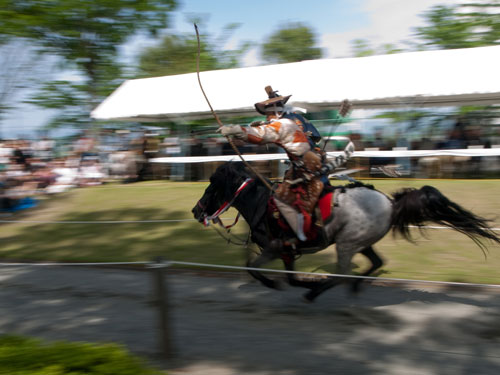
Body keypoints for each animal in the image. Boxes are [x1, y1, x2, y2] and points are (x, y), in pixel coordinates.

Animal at [192, 162, 500, 302]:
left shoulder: (276, 248)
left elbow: (255, 268)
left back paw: (318, 292)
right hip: (359, 242)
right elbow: (276, 273)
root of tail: (390, 202)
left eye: (210, 188)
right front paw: (303, 283)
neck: (260, 203)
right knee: (374, 263)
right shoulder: (286, 252)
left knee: (343, 274)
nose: (196, 211)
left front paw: (285, 284)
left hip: (346, 244)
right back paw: (353, 286)